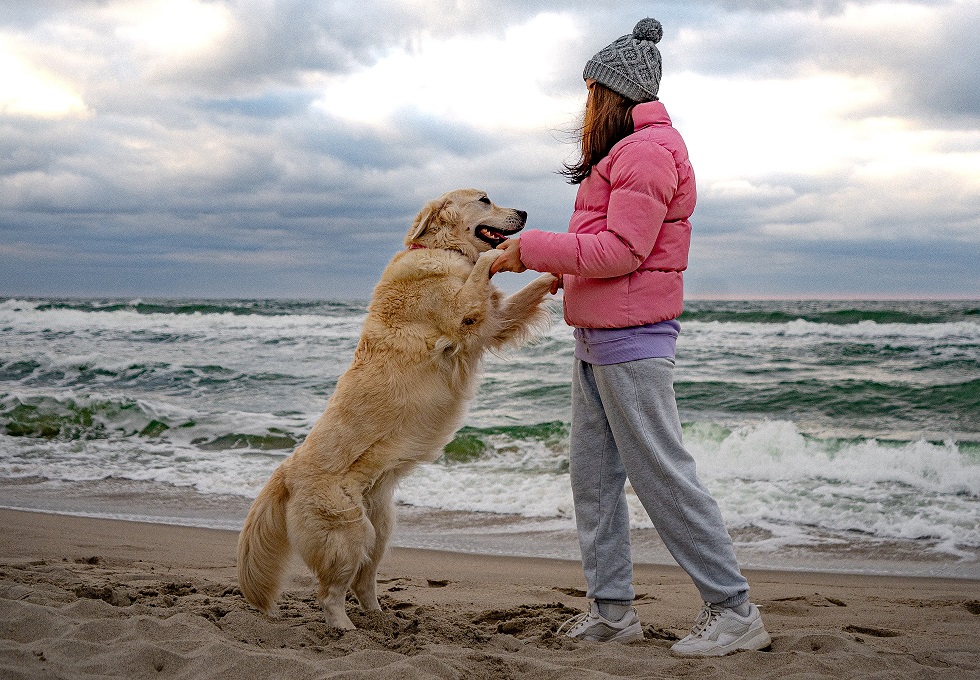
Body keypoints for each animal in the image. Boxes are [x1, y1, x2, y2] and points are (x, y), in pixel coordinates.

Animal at [237, 189, 556, 628]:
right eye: (485, 199)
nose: (523, 212)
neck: (439, 249)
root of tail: (286, 471)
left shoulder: (494, 320)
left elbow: (521, 293)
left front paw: (554, 275)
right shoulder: (465, 313)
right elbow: (482, 268)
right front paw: (501, 257)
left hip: (380, 528)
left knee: (363, 582)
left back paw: (382, 620)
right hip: (348, 532)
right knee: (330, 594)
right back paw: (346, 630)